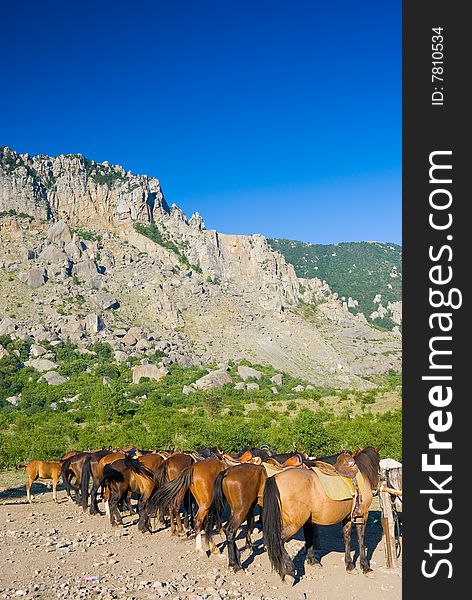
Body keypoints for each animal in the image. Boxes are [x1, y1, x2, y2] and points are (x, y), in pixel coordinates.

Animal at [262, 448, 380, 584]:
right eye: (379, 465)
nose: (376, 489)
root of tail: (274, 477)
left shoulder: (347, 517)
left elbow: (347, 538)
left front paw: (349, 565)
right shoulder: (363, 515)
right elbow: (361, 539)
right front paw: (366, 568)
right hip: (294, 524)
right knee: (279, 541)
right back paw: (289, 572)